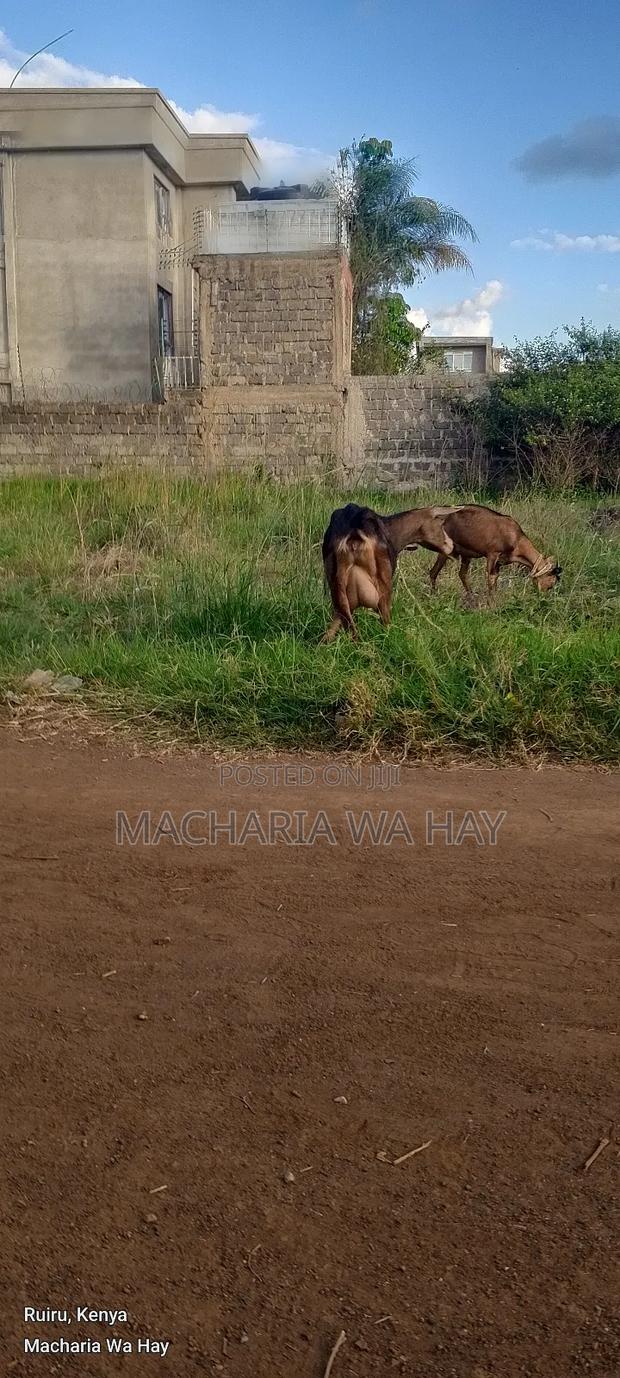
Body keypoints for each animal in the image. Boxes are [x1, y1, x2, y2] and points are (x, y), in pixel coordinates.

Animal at [321, 503, 459, 640]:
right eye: (440, 523)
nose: (451, 545)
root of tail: (355, 532)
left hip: (337, 587)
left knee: (342, 632)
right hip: (383, 585)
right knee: (384, 624)